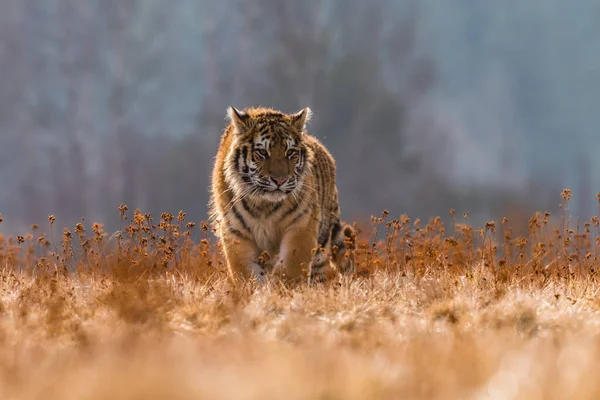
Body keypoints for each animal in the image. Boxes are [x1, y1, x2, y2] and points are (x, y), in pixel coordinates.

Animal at [210, 104, 356, 282]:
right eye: (262, 153)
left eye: (290, 152)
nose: (280, 180)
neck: (263, 205)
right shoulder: (235, 232)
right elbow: (245, 272)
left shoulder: (301, 225)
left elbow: (291, 267)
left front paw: (282, 288)